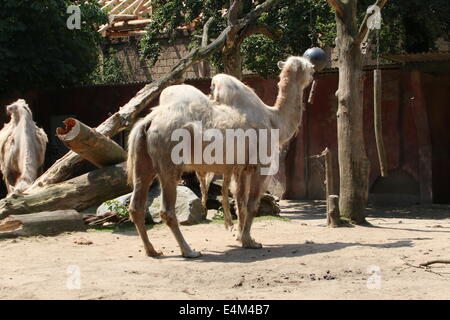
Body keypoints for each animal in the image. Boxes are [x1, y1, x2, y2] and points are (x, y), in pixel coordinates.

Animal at [127, 56, 312, 258]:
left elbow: (240, 203)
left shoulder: (241, 168)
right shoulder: (261, 165)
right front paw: (251, 242)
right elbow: (252, 204)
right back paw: (189, 251)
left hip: (143, 162)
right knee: (167, 210)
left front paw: (242, 238)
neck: (275, 119)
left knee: (136, 205)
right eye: (309, 67)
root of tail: (149, 121)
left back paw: (152, 250)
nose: (314, 67)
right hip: (169, 162)